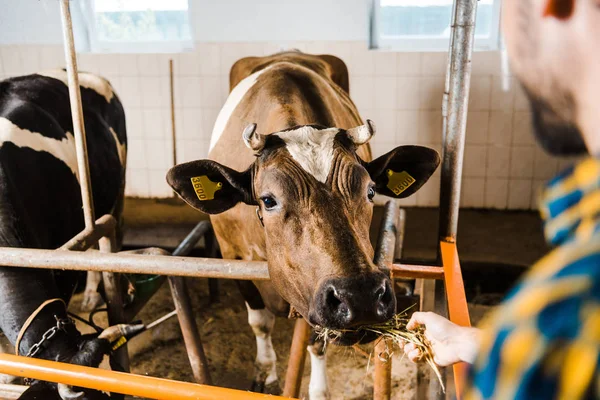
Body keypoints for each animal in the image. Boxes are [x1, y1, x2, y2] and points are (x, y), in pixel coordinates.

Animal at [166, 51, 438, 398]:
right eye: (268, 200)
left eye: (370, 191)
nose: (360, 296)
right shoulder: (231, 256)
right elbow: (259, 322)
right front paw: (265, 371)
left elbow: (316, 341)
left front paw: (318, 389)